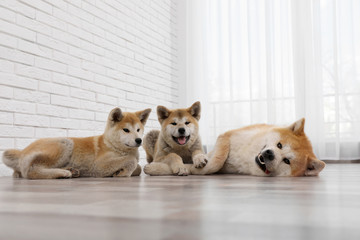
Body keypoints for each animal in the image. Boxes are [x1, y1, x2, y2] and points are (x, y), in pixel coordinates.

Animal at [1, 108, 150, 179]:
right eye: (126, 130)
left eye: (138, 130)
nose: (139, 140)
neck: (112, 145)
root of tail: (22, 151)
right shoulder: (99, 165)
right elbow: (132, 161)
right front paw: (122, 173)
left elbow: (138, 167)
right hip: (66, 143)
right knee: (30, 171)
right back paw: (63, 173)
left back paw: (71, 170)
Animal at [143, 118, 326, 176]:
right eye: (279, 144)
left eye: (287, 161)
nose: (269, 154)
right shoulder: (227, 136)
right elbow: (215, 162)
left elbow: (208, 167)